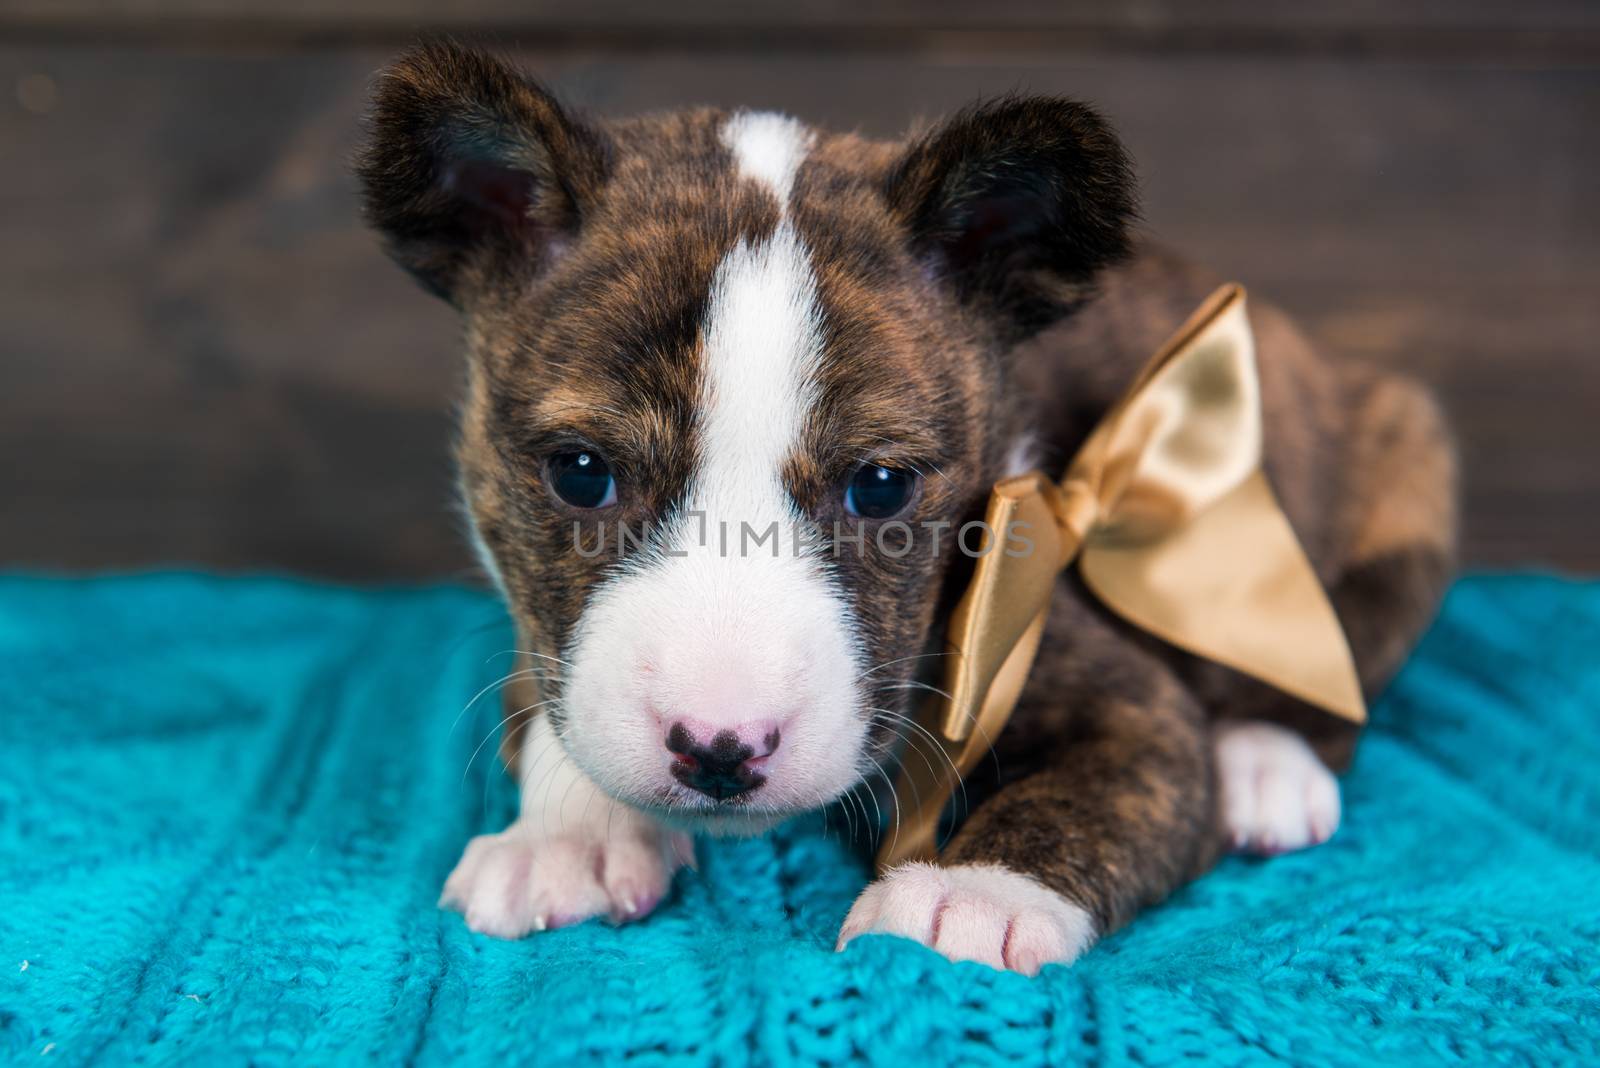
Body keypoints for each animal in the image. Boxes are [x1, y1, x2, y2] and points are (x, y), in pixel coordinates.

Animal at [356, 41, 1459, 972]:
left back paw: (1266, 764)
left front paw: (970, 897)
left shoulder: (1130, 710)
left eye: (880, 485)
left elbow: (1089, 797)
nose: (720, 750)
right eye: (581, 473)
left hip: (1405, 464)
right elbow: (551, 703)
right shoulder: (538, 633)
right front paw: (568, 834)